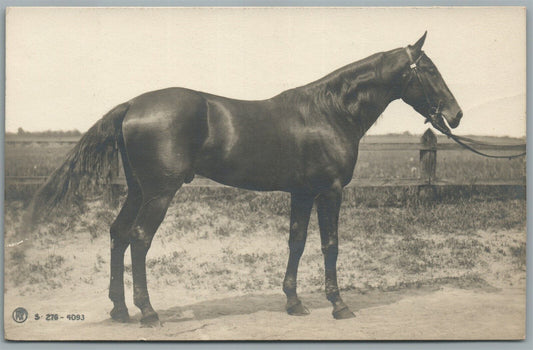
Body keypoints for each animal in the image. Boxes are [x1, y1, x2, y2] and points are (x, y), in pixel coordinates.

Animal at [27, 32, 462, 326]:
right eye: (428, 70)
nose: (455, 115)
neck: (329, 112)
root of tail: (133, 104)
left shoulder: (302, 193)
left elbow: (297, 242)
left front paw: (294, 302)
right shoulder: (330, 192)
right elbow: (331, 245)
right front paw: (339, 305)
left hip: (137, 190)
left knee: (118, 234)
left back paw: (119, 309)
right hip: (159, 194)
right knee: (138, 238)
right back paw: (148, 312)